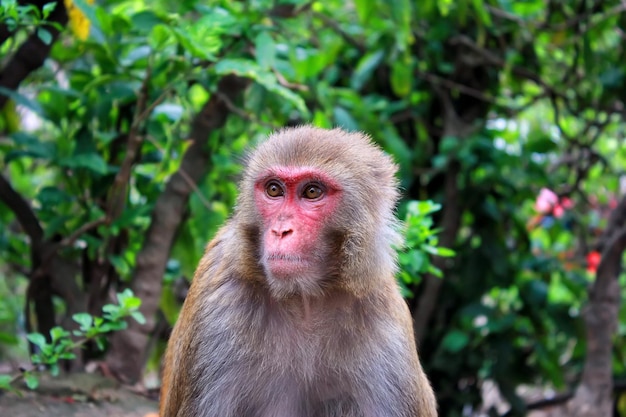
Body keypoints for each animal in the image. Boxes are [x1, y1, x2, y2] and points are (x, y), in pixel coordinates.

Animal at [158, 125, 436, 414]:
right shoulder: (218, 302)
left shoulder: (385, 325)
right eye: (274, 189)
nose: (281, 230)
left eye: (312, 192)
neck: (304, 300)